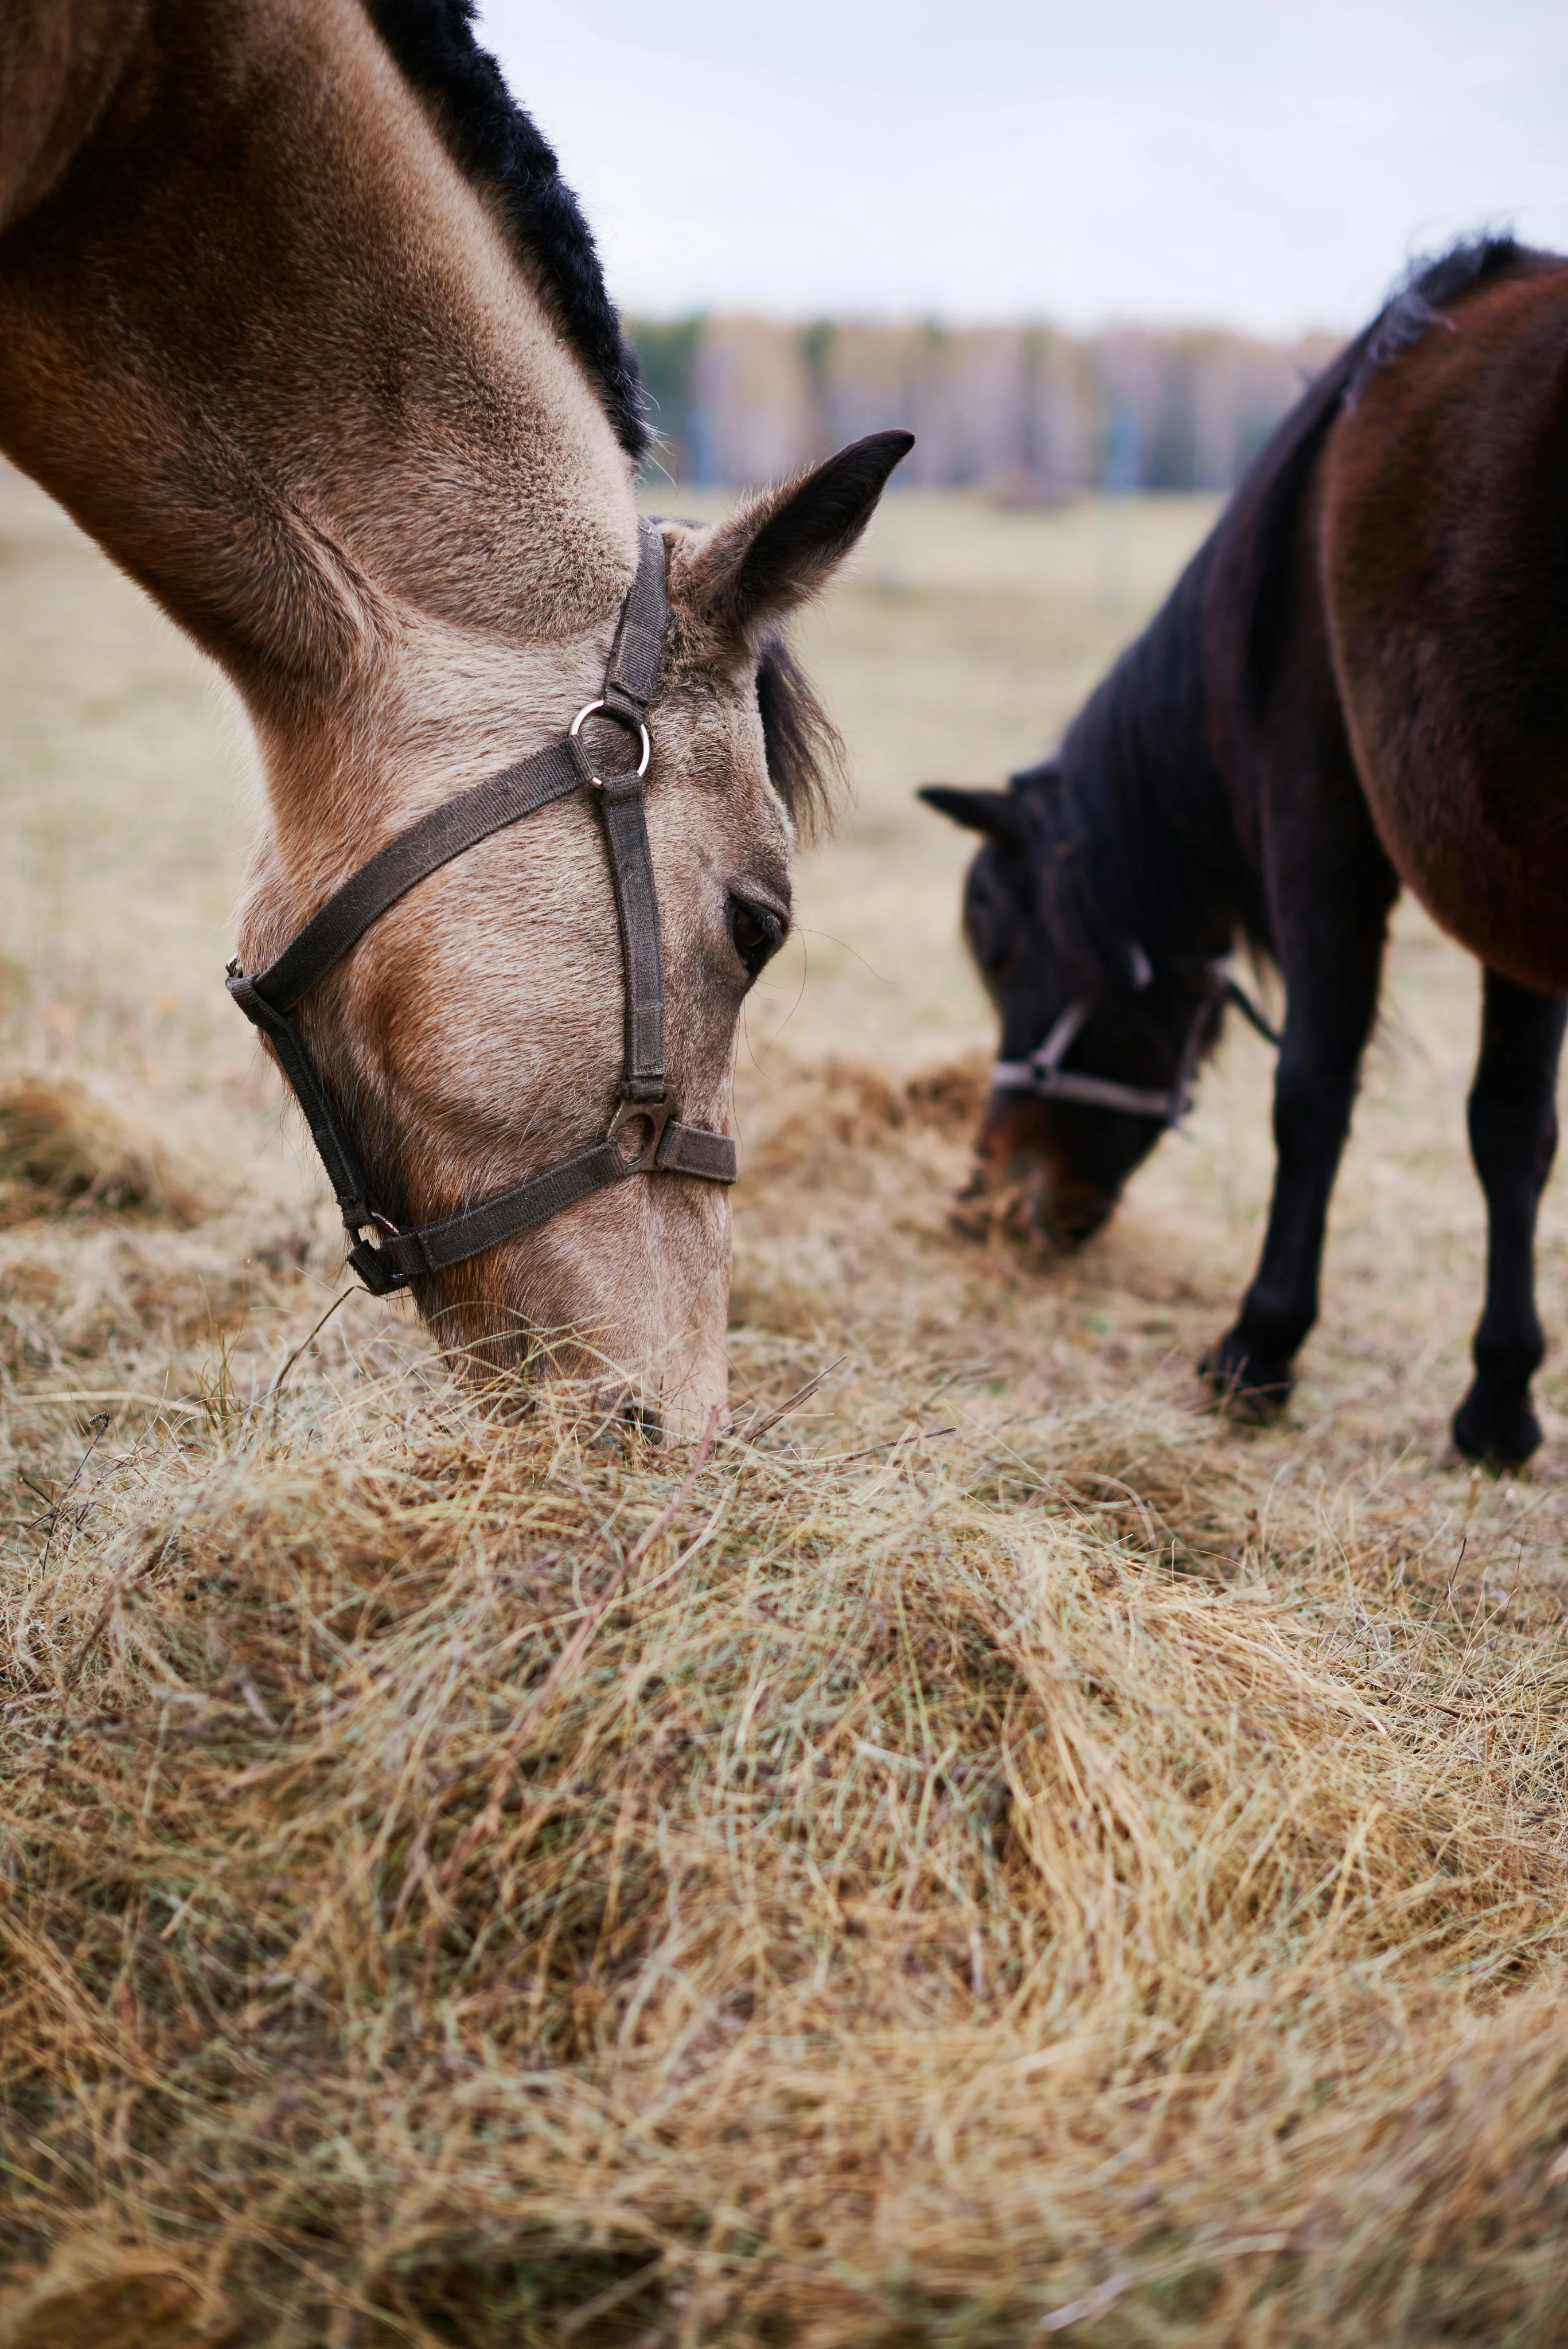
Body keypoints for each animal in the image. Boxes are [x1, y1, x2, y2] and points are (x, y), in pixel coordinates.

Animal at [923, 236, 1568, 1465]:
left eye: (1002, 950)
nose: (987, 1198)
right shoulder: (1504, 884)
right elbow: (1510, 1125)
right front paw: (1499, 1395)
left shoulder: (1322, 823)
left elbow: (1309, 1090)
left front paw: (1259, 1344)